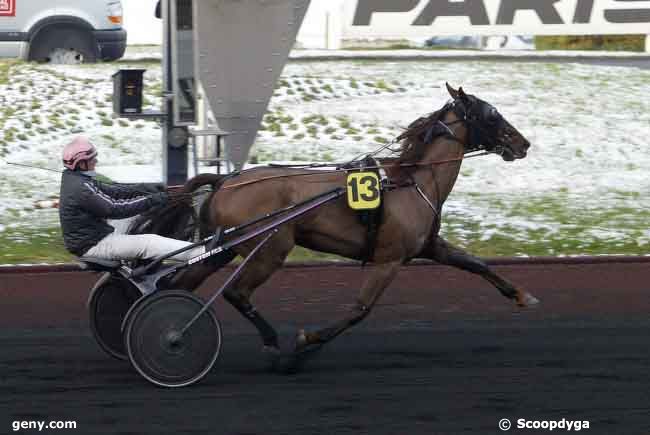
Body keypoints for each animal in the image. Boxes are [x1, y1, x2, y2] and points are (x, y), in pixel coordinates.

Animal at [134, 83, 536, 372]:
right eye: (492, 114)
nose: (524, 143)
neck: (411, 181)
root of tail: (224, 181)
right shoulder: (388, 260)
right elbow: (359, 310)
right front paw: (304, 344)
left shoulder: (427, 246)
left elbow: (475, 263)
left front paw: (521, 295)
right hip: (269, 250)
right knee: (235, 293)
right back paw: (262, 344)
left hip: (226, 247)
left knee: (181, 284)